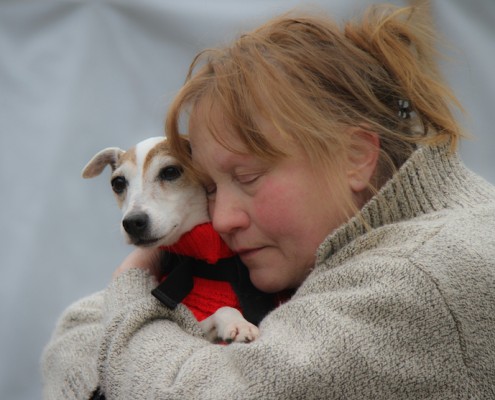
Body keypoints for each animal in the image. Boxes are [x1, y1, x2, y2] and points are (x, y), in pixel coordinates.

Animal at [82, 136, 260, 342]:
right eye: (118, 183)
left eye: (170, 171)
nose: (132, 222)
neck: (204, 262)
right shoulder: (191, 322)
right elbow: (222, 309)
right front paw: (237, 324)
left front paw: (239, 324)